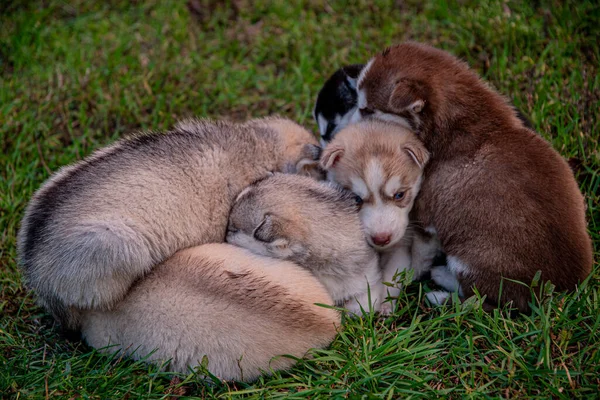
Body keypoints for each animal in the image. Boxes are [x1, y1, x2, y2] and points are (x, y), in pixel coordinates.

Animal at [322, 120, 428, 314]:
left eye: (399, 195)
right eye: (356, 199)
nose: (381, 239)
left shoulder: (401, 245)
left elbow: (392, 274)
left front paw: (386, 303)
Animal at [350, 43, 592, 312]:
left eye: (366, 109)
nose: (344, 127)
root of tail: (560, 294)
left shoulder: (427, 214)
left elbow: (420, 255)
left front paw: (412, 274)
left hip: (471, 257)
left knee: (476, 299)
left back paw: (440, 287)